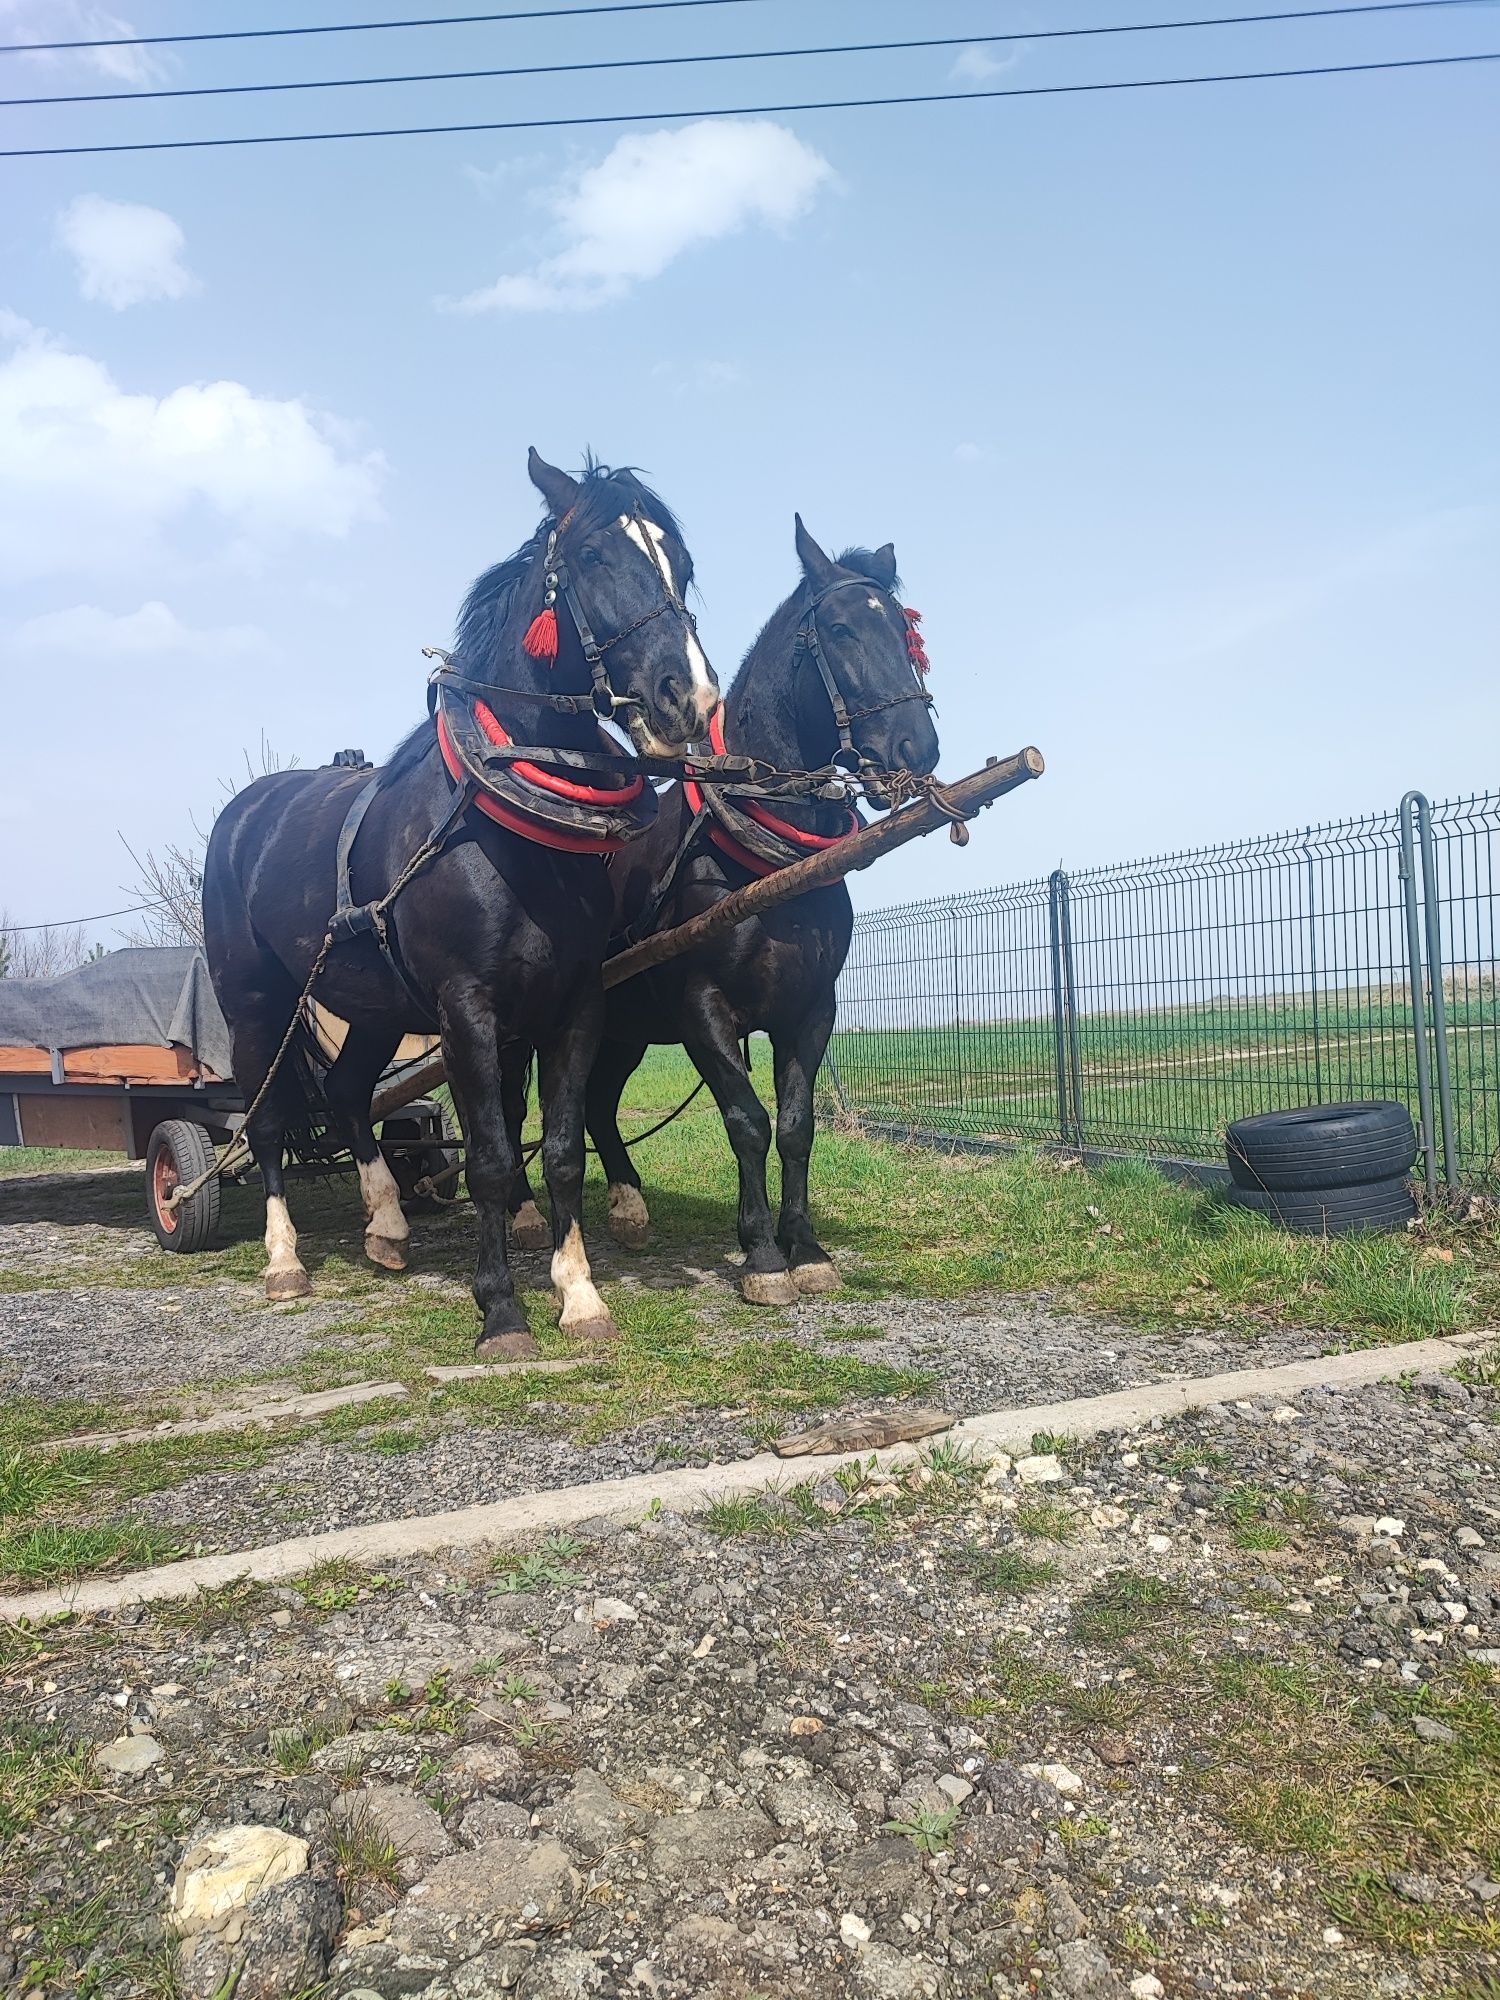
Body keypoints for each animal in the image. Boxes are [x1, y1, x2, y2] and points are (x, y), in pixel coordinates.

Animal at [203, 454, 720, 1360]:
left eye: (681, 564)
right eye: (593, 556)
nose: (685, 699)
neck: (505, 819)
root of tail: (244, 814)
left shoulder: (574, 1001)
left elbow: (558, 1150)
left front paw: (580, 1296)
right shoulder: (467, 1008)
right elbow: (487, 1158)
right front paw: (502, 1311)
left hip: (373, 1005)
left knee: (348, 1094)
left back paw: (386, 1227)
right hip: (256, 1000)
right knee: (265, 1123)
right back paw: (284, 1261)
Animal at [516, 516, 940, 1296]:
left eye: (903, 630)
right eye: (840, 629)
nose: (916, 748)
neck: (767, 865)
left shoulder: (812, 1005)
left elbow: (797, 1124)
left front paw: (806, 1246)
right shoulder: (701, 1006)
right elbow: (747, 1120)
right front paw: (763, 1254)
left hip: (623, 1028)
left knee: (599, 1104)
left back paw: (628, 1204)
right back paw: (527, 1212)